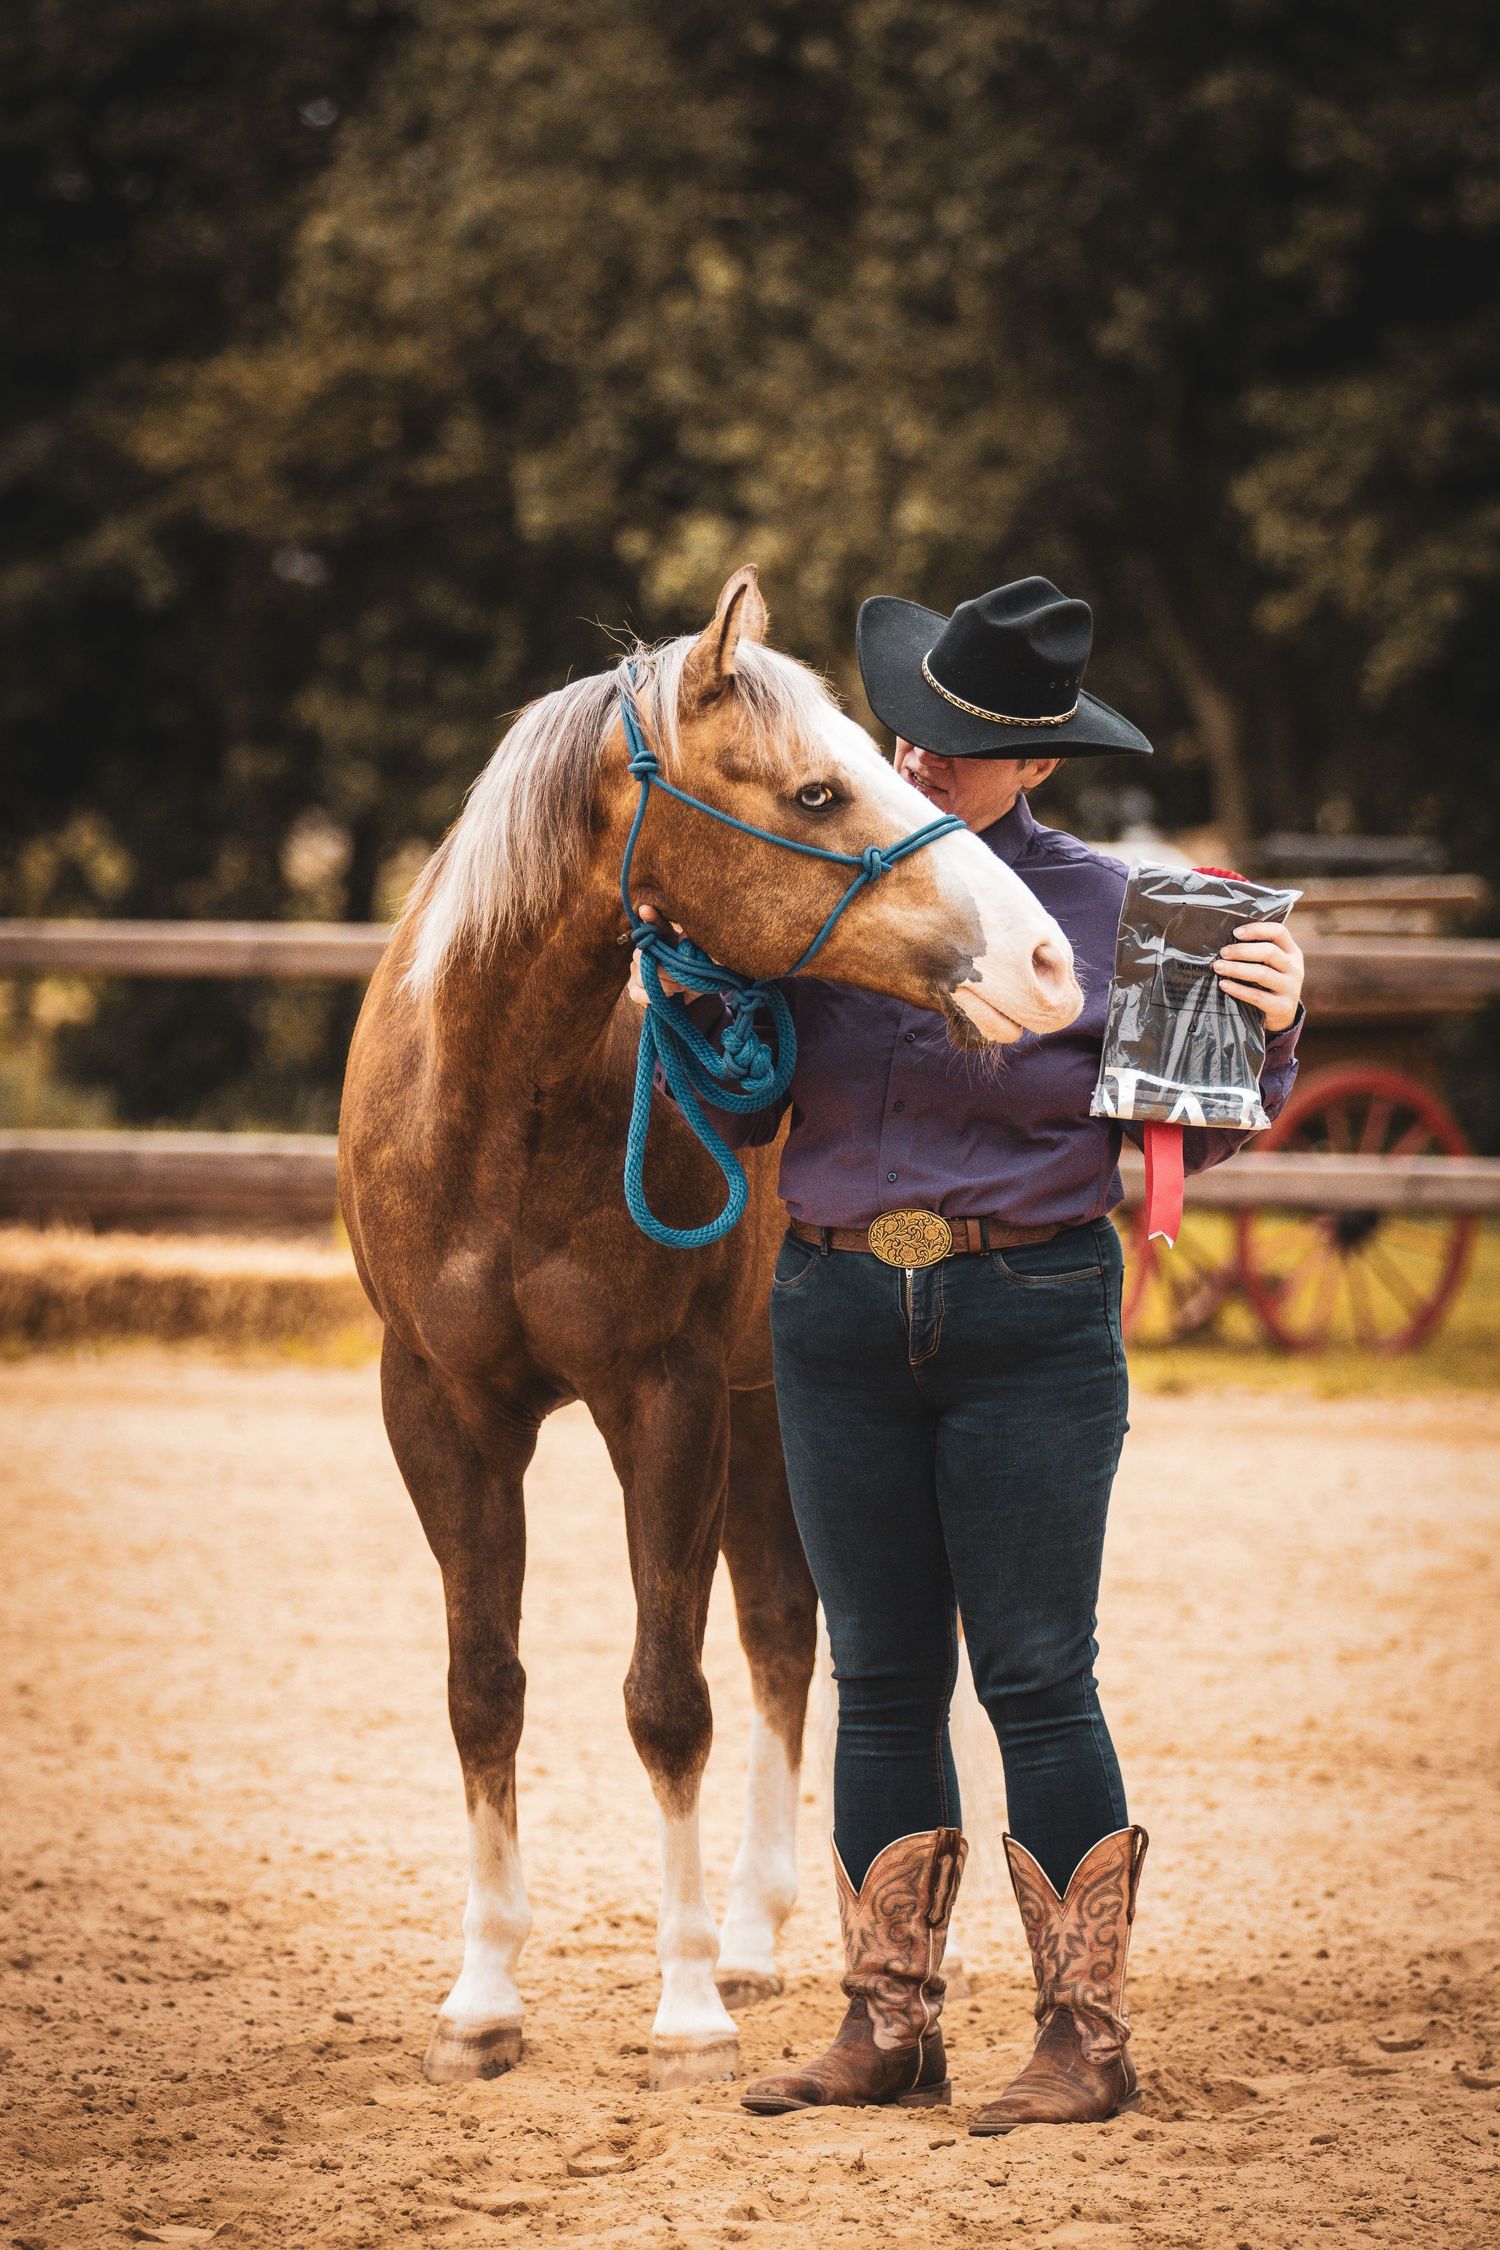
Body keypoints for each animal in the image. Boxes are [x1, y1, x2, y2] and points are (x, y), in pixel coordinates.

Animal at [337, 566, 1083, 2091]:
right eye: (816, 790)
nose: (1045, 959)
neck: (499, 1100)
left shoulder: (659, 1396)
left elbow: (665, 1696)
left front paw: (683, 2010)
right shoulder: (438, 1406)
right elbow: (483, 1687)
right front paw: (482, 1998)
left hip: (750, 1409)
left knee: (818, 1649)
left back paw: (779, 1942)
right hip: (763, 1407)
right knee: (788, 1631)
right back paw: (751, 1930)